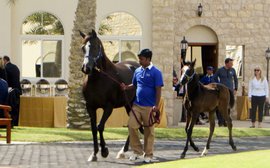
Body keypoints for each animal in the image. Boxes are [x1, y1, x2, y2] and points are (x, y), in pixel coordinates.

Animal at [79, 29, 141, 161]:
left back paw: (126, 151)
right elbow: (93, 128)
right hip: (128, 105)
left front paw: (104, 151)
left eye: (96, 47)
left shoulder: (108, 107)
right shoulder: (90, 107)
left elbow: (100, 126)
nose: (86, 68)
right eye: (83, 48)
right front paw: (94, 154)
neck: (99, 79)